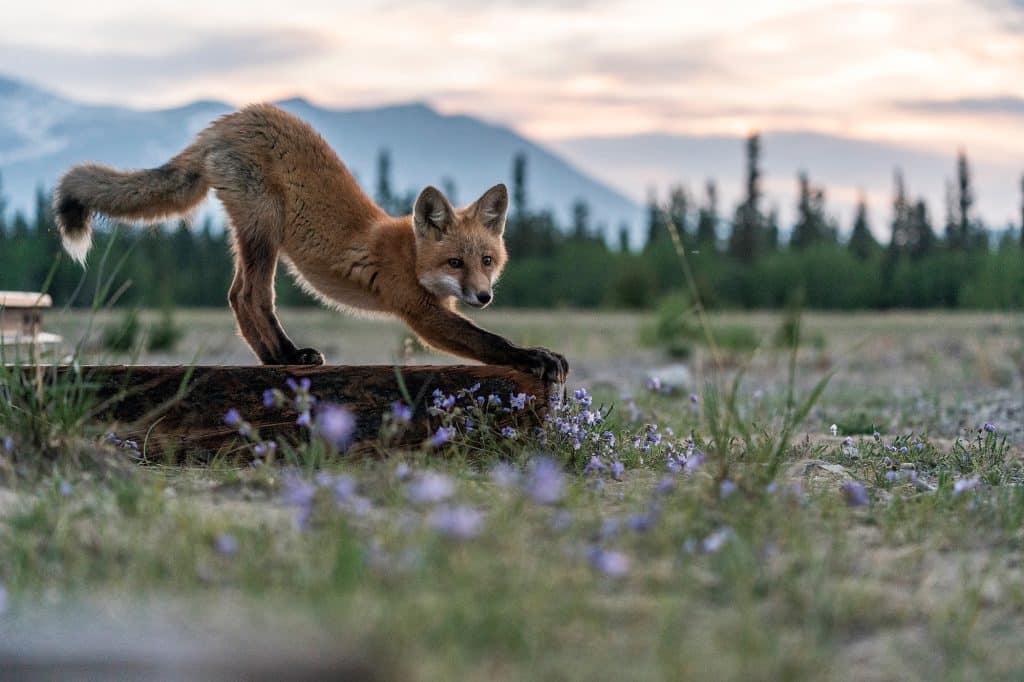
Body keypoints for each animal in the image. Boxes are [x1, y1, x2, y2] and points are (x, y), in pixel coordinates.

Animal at [53, 104, 568, 382]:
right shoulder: (420, 312)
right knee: (252, 296)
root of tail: (230, 120)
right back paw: (288, 356)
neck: (409, 254)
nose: (484, 296)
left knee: (236, 297)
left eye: (487, 260)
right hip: (265, 230)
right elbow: (490, 341)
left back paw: (270, 360)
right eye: (456, 262)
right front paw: (534, 357)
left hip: (253, 235)